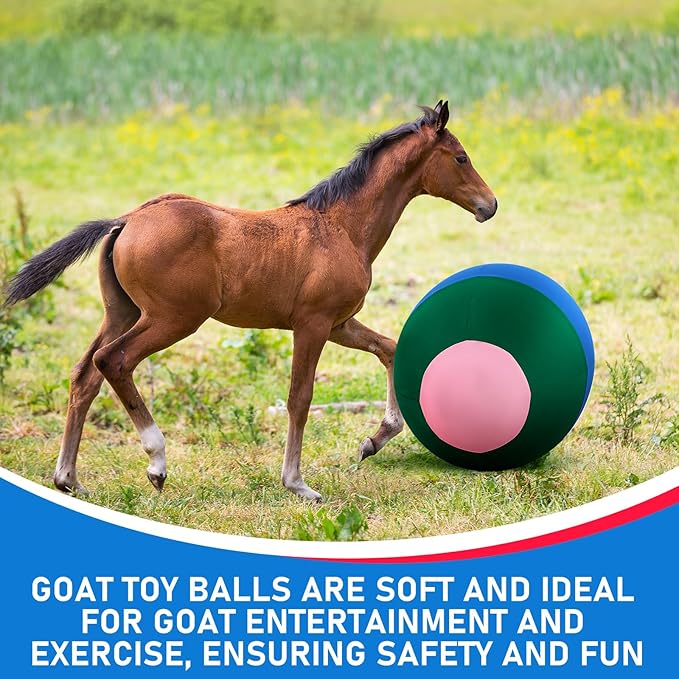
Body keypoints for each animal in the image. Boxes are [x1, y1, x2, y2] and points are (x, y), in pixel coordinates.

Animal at [5, 100, 497, 502]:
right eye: (461, 157)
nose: (489, 205)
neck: (340, 226)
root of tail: (127, 219)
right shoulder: (313, 324)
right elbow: (300, 397)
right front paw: (298, 484)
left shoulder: (339, 323)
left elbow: (390, 349)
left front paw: (373, 441)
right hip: (173, 318)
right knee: (113, 361)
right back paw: (156, 461)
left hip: (123, 312)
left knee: (84, 374)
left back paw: (68, 479)